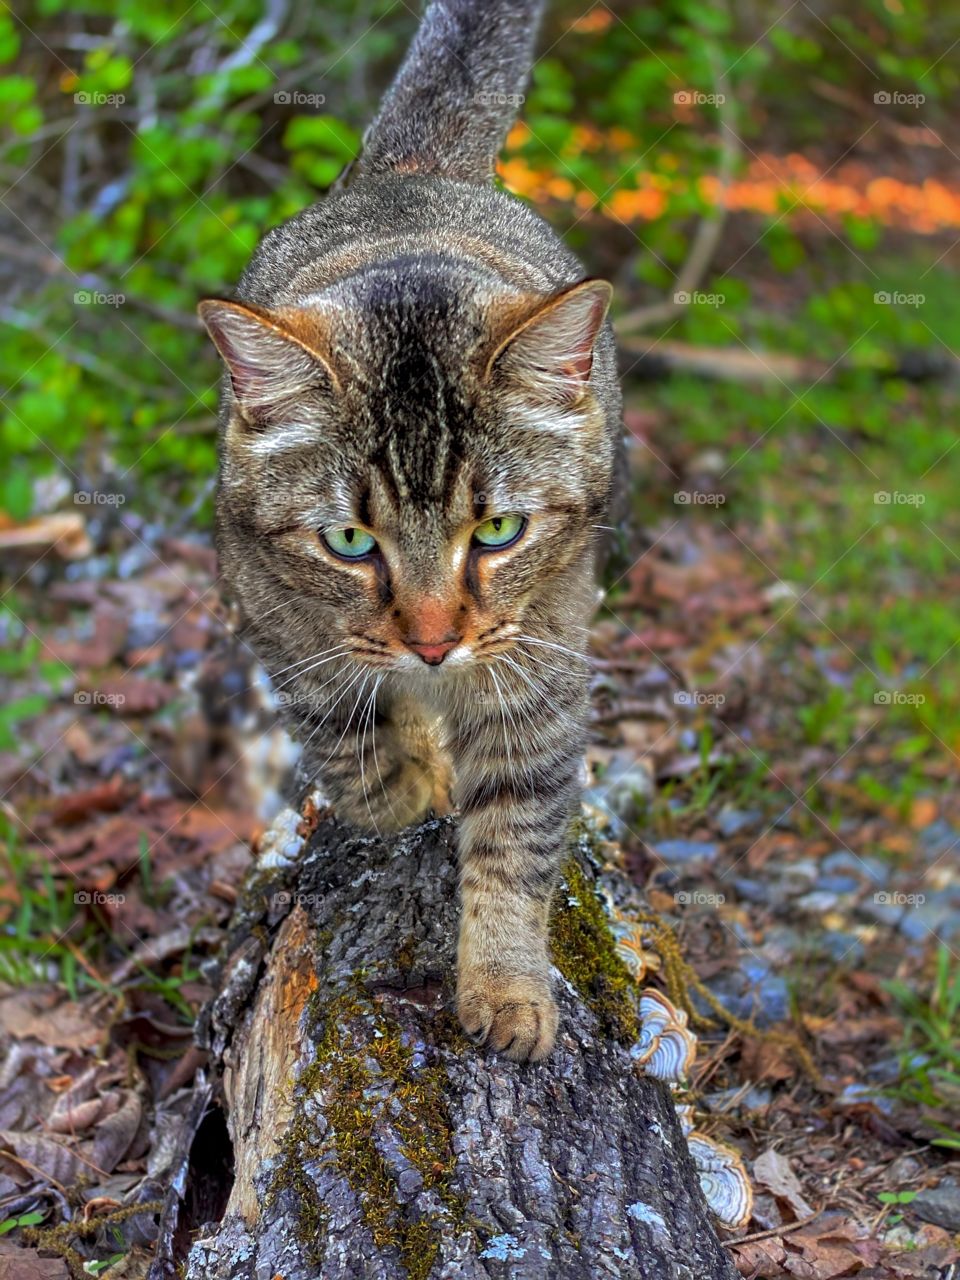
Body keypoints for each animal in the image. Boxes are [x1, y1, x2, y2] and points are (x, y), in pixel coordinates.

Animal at [199, 0, 627, 1059]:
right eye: (350, 543)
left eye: (500, 529)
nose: (434, 643)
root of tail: (411, 170)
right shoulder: (280, 626)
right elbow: (352, 753)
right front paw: (410, 786)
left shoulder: (542, 660)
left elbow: (517, 834)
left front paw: (507, 987)